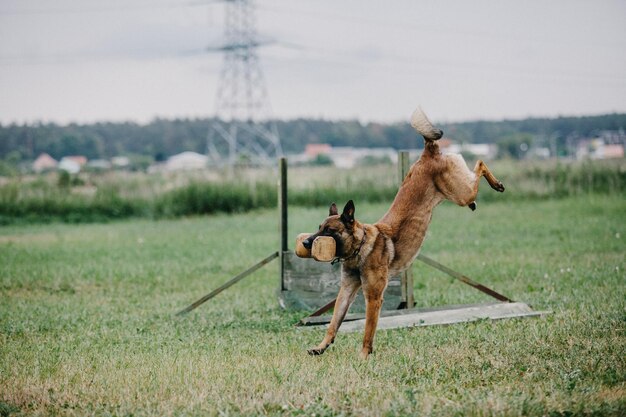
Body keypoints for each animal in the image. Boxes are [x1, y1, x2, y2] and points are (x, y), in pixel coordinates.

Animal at [302, 107, 502, 358]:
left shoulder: (373, 296)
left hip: (460, 193)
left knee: (481, 164)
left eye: (329, 231)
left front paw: (364, 356)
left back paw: (497, 184)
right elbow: (333, 323)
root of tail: (427, 152)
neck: (360, 248)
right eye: (319, 228)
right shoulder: (346, 291)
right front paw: (321, 347)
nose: (306, 243)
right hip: (458, 191)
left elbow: (368, 330)